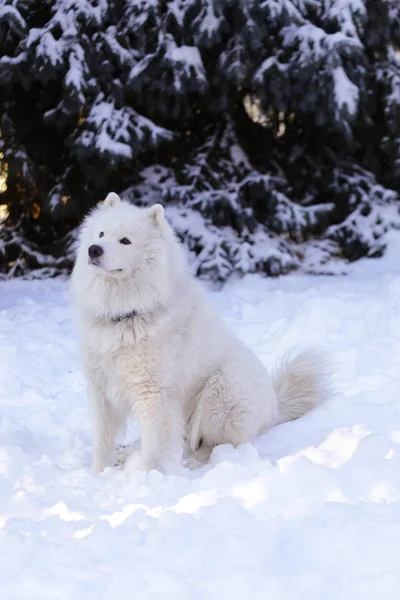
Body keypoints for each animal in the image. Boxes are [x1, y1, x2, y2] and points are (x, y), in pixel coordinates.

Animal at [69, 192, 332, 474]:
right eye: (101, 233)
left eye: (125, 241)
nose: (94, 250)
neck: (125, 314)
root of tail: (274, 407)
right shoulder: (100, 388)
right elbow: (102, 441)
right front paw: (98, 473)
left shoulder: (153, 393)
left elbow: (155, 447)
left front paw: (153, 477)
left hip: (223, 390)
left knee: (216, 444)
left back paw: (193, 463)